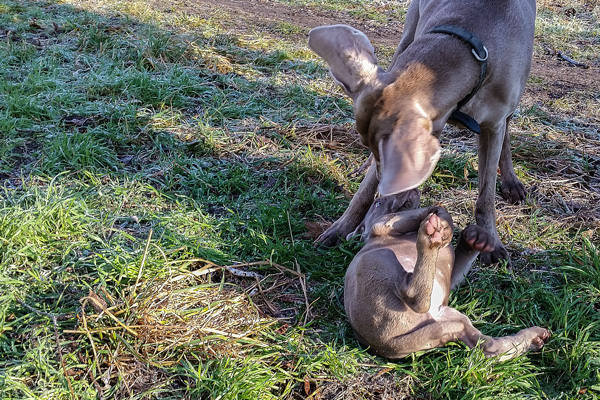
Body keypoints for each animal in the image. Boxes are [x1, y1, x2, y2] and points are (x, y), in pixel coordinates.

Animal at [309, 0, 536, 265]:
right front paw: (340, 228)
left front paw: (490, 240)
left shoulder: (494, 125)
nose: (388, 190)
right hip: (406, 35)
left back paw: (511, 181)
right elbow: (364, 191)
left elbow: (486, 195)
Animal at [344, 190, 550, 360]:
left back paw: (533, 337)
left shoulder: (450, 279)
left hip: (449, 321)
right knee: (415, 295)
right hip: (380, 263)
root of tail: (388, 344)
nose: (409, 188)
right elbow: (436, 211)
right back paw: (429, 238)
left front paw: (476, 239)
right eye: (378, 203)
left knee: (489, 347)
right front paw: (441, 222)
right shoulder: (382, 224)